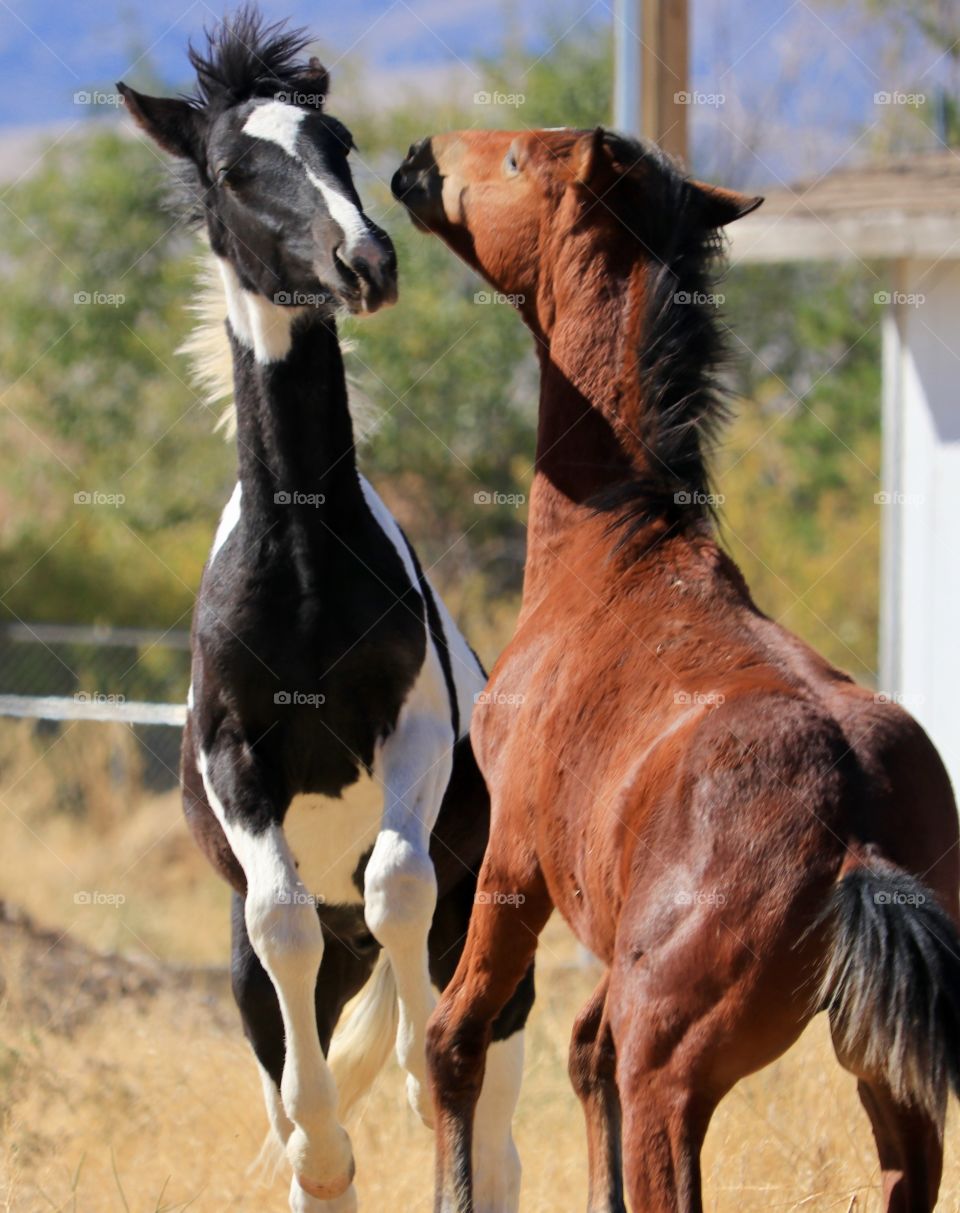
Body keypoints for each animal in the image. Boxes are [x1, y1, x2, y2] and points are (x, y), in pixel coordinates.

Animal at [120, 11, 534, 1213]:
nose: (368, 262)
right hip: (262, 977)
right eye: (229, 169)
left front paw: (419, 1071)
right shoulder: (232, 758)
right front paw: (318, 1131)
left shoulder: (415, 733)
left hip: (500, 952)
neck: (300, 565)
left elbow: (398, 883)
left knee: (492, 1140)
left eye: (338, 143)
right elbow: (283, 924)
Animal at [390, 125, 960, 1213]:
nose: (416, 159)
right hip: (881, 1070)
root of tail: (858, 829)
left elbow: (455, 1040)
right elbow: (583, 1051)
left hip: (678, 1071)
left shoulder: (513, 859)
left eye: (520, 159)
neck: (617, 557)